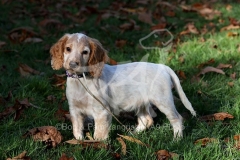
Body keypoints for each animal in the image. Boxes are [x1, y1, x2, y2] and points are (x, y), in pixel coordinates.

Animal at [49, 32, 196, 140]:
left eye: (85, 52)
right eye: (68, 49)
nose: (73, 64)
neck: (81, 80)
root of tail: (163, 67)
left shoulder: (101, 111)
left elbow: (99, 134)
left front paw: (97, 146)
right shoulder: (75, 110)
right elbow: (77, 130)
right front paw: (80, 142)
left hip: (163, 100)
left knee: (177, 118)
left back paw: (177, 139)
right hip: (141, 102)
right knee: (147, 120)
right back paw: (133, 135)